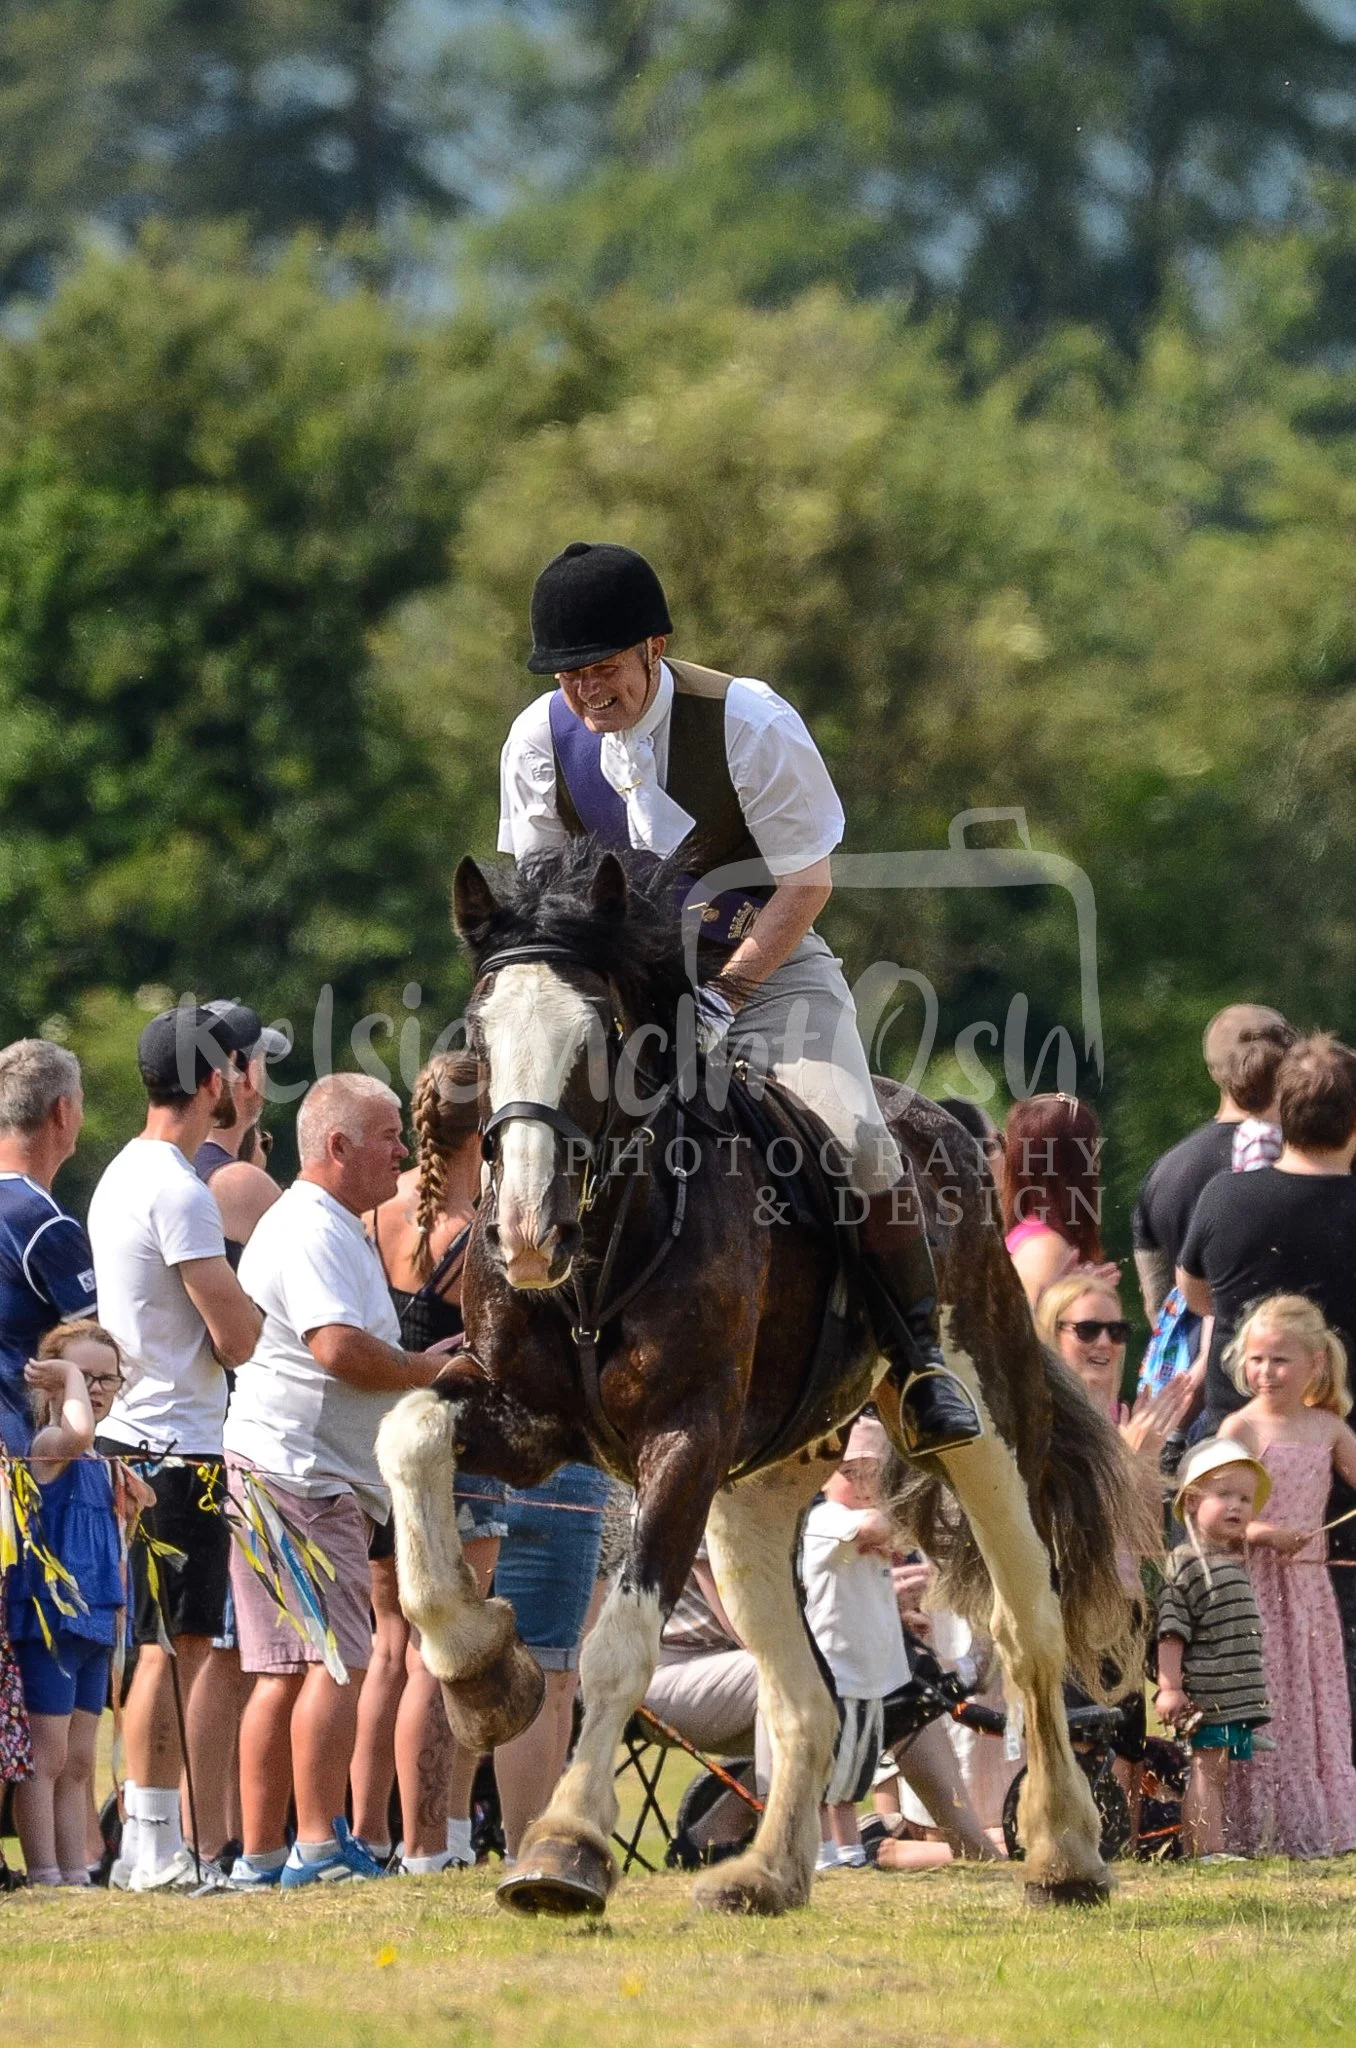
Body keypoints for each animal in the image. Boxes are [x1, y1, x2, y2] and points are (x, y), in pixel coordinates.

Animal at [375, 840, 1146, 1917]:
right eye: (479, 1041)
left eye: (600, 1036)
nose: (523, 1233)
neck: (607, 1243)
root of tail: (950, 1128)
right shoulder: (530, 1421)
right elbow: (408, 1435)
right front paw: (483, 1671)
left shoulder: (683, 1440)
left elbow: (621, 1640)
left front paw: (565, 1846)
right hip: (755, 1497)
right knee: (806, 1699)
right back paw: (767, 1872)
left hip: (986, 1432)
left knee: (1027, 1628)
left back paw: (1066, 1850)